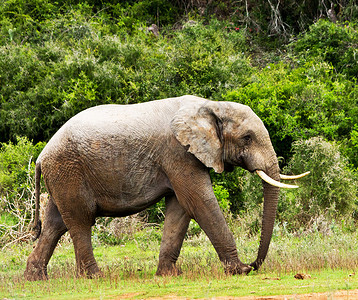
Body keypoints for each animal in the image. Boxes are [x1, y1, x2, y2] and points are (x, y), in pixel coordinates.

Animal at [23, 95, 308, 280]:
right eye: (247, 138)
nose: (254, 264)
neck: (211, 105)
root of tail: (41, 156)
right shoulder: (178, 154)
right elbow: (200, 202)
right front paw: (239, 271)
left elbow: (180, 209)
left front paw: (168, 275)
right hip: (68, 170)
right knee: (80, 221)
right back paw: (95, 277)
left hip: (61, 175)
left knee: (55, 224)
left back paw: (35, 279)